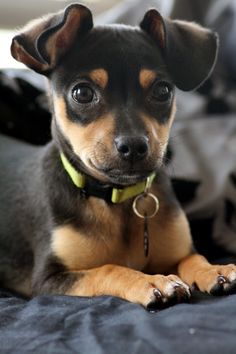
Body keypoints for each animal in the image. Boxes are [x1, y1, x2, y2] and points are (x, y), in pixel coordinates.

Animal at [0, 3, 236, 310]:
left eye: (163, 91)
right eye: (82, 93)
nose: (134, 146)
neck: (115, 198)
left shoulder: (177, 253)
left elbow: (193, 258)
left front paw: (214, 270)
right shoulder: (49, 279)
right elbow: (109, 268)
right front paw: (152, 281)